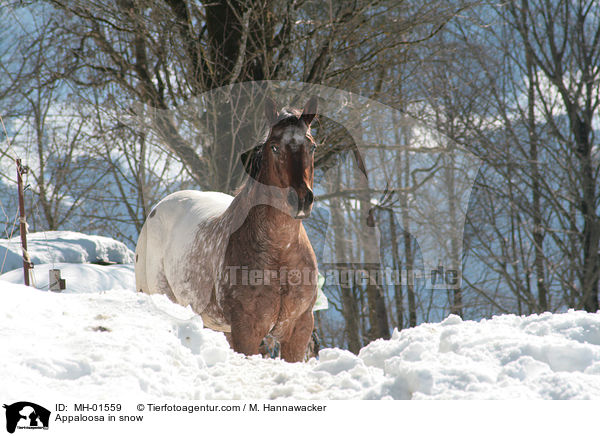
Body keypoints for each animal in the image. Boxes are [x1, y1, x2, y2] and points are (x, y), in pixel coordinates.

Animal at [134, 97, 322, 362]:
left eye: (312, 146)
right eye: (274, 147)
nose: (301, 200)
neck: (279, 254)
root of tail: (157, 209)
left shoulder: (298, 329)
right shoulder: (246, 331)